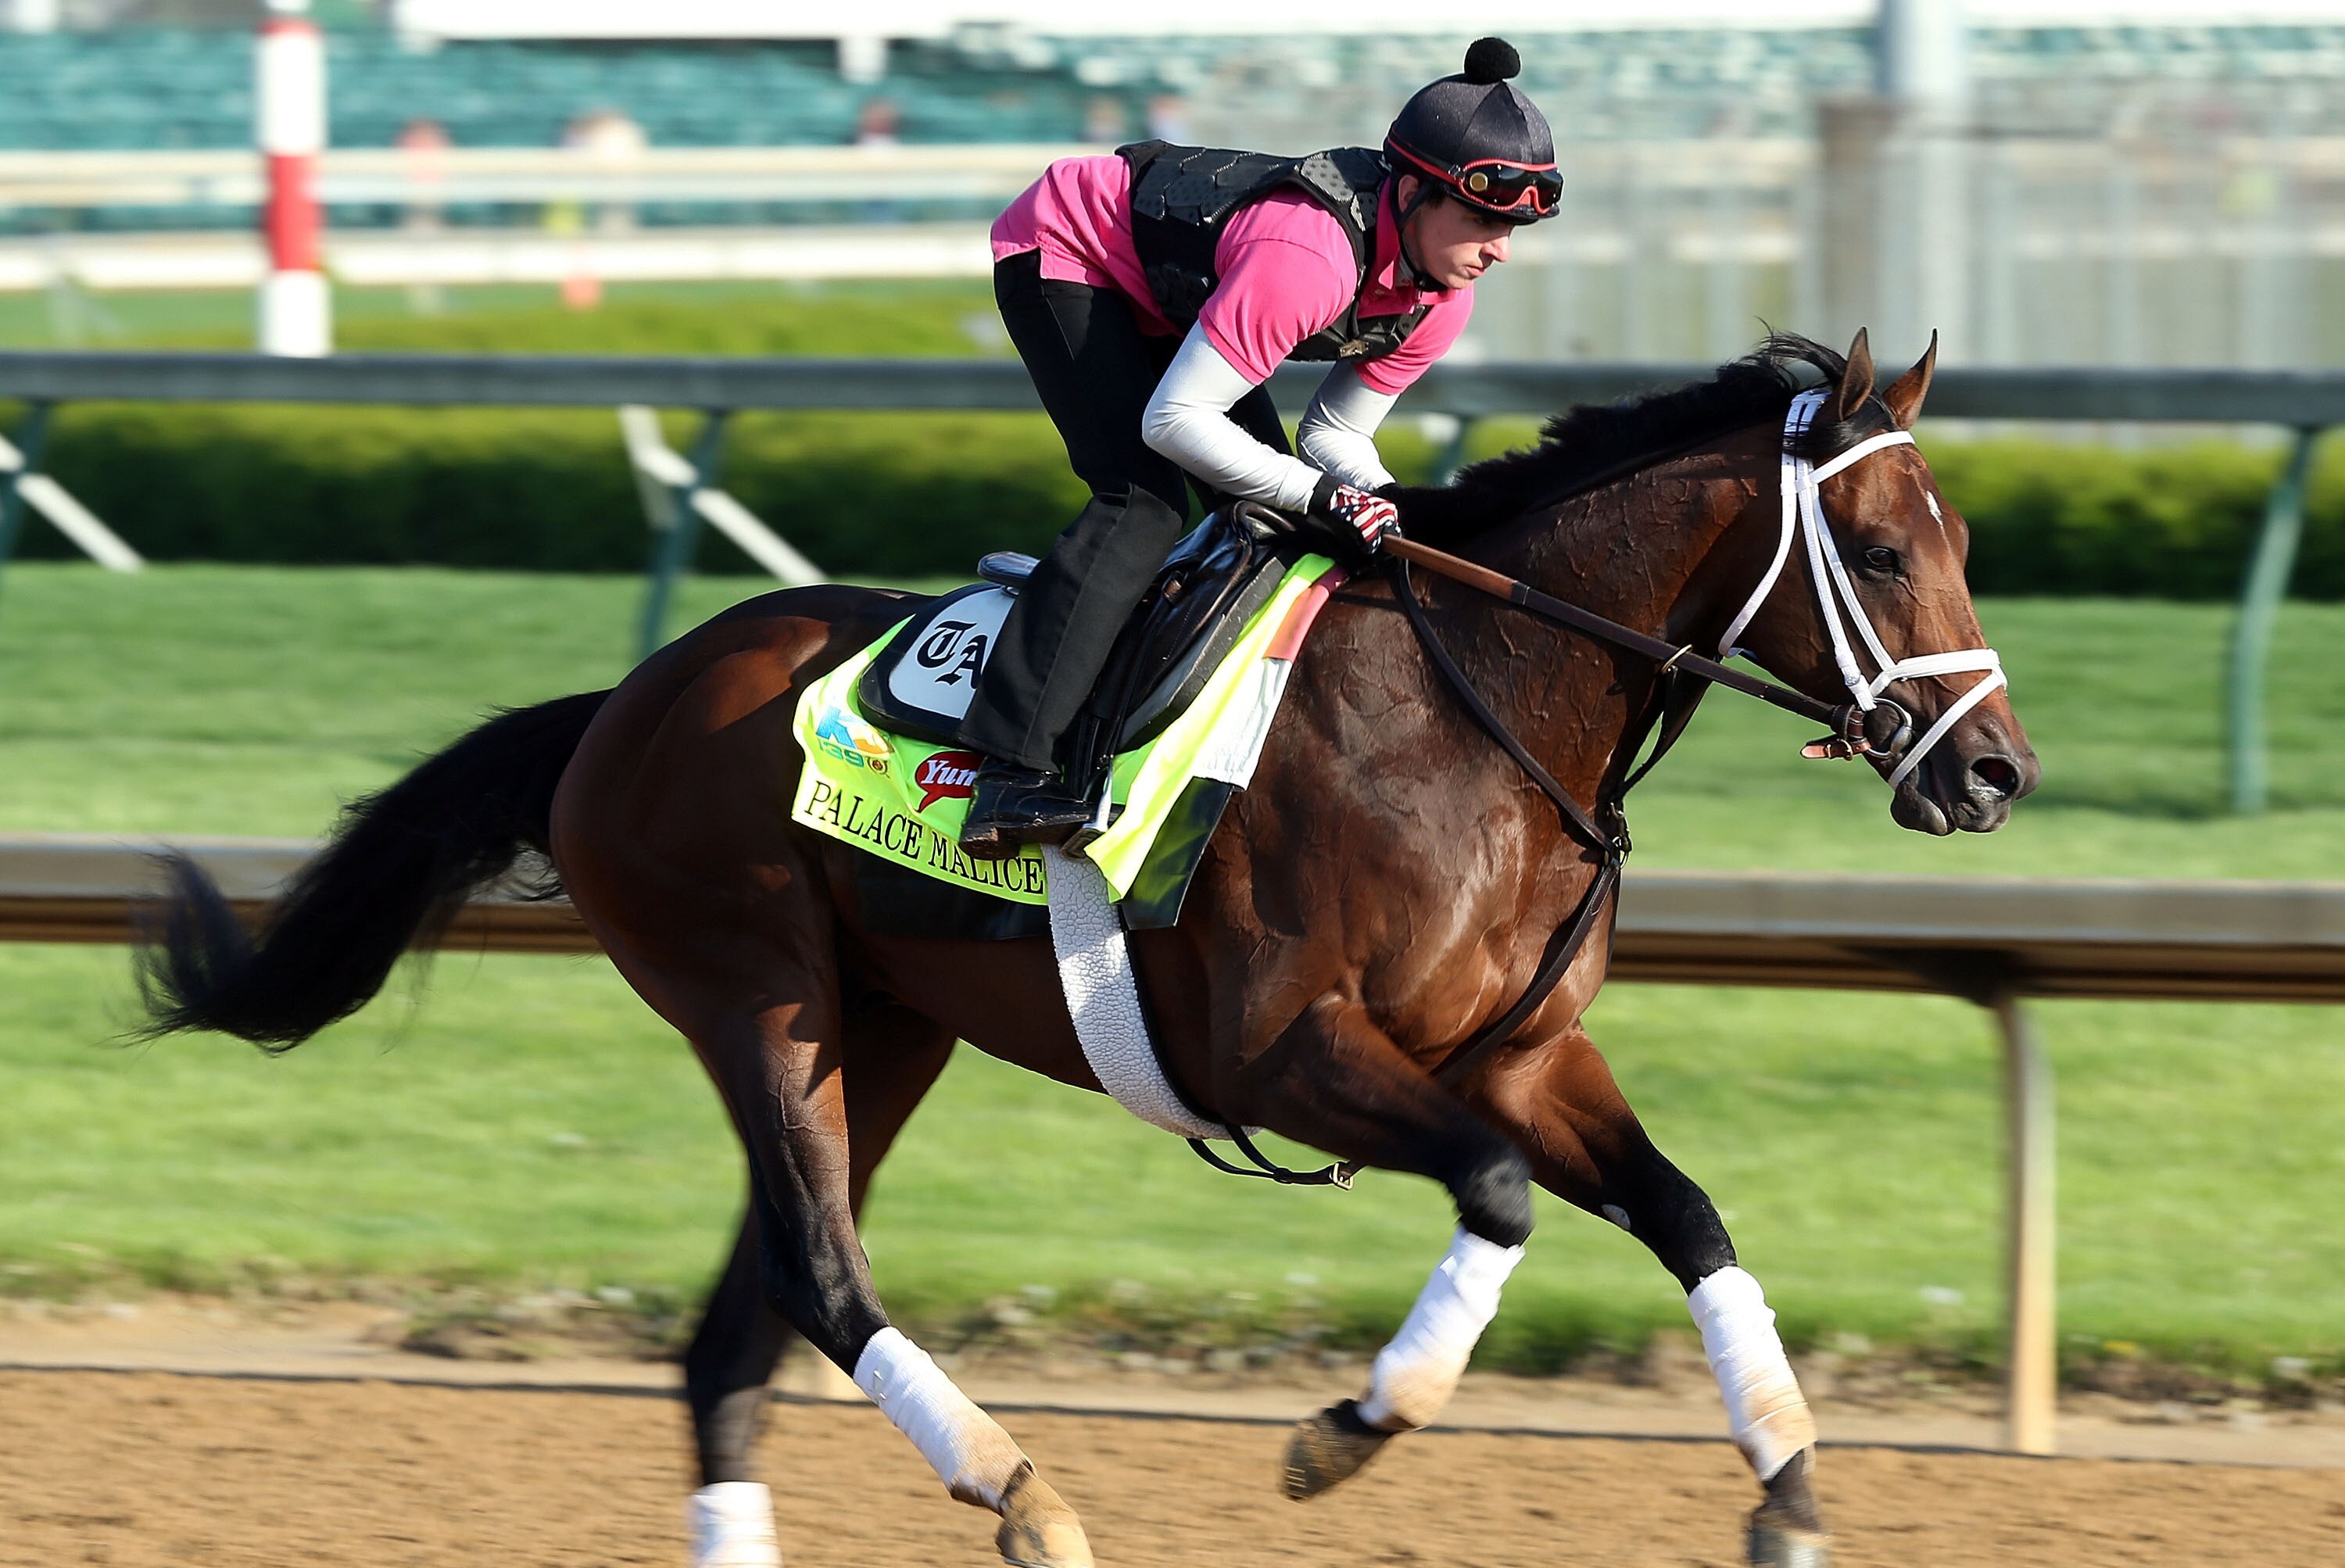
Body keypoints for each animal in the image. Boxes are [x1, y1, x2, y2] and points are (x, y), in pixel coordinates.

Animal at [137, 330, 2036, 1568]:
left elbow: (1690, 1213)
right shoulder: (1290, 1050)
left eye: (1961, 540)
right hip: (754, 993)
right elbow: (1497, 1201)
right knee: (819, 1282)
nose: (1997, 775)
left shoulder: (1521, 1053)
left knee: (734, 1336)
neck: (1478, 711)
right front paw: (1344, 1434)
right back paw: (1024, 1491)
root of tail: (622, 702)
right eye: (1881, 549)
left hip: (884, 1029)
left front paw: (1787, 1479)